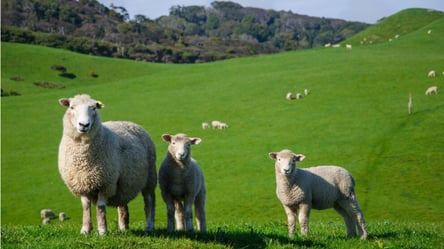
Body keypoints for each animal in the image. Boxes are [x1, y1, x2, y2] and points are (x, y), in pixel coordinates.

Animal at [58, 94, 157, 235]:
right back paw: (123, 227)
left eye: (93, 108)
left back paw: (149, 226)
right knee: (123, 204)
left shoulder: (105, 183)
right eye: (71, 107)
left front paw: (102, 231)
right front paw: (85, 230)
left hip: (150, 177)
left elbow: (100, 208)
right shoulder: (81, 183)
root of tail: (129, 122)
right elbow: (85, 207)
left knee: (149, 200)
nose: (84, 125)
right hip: (123, 183)